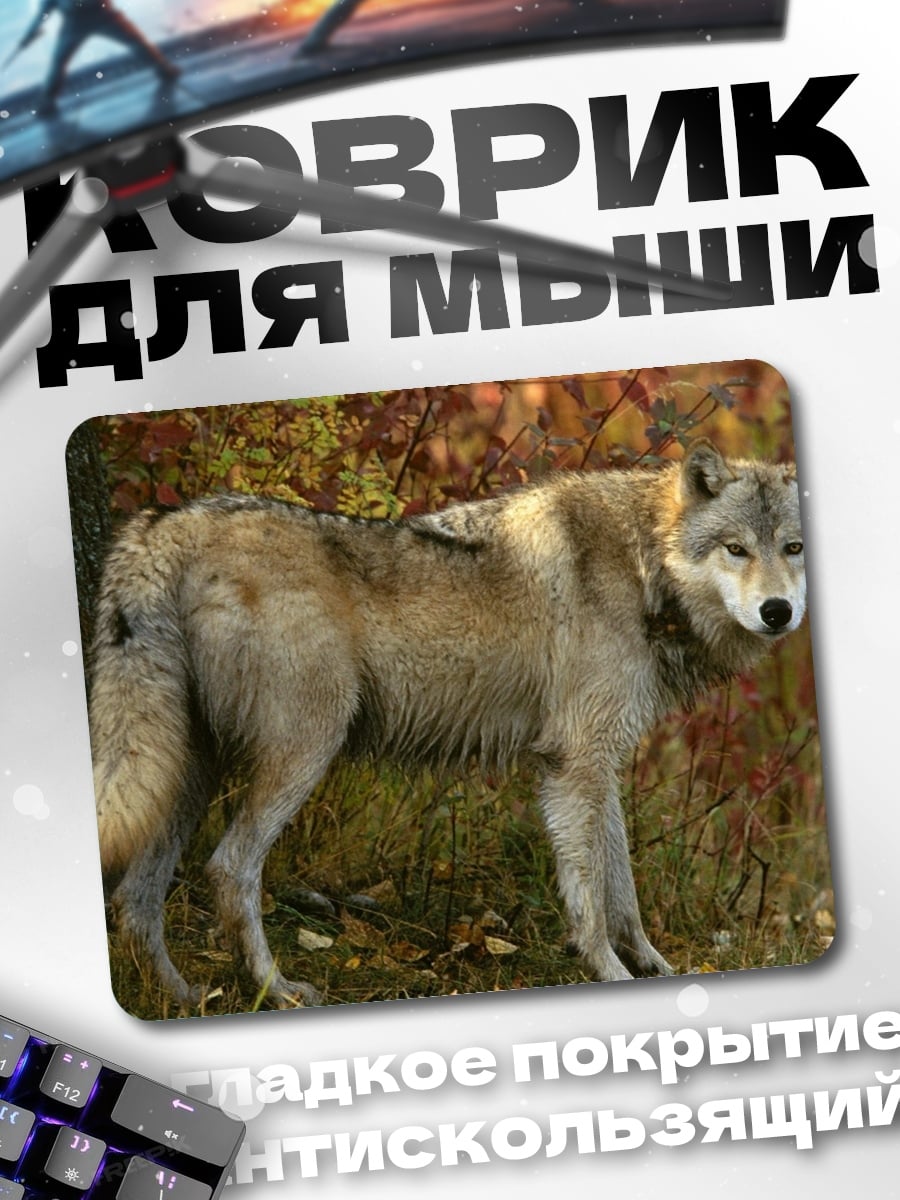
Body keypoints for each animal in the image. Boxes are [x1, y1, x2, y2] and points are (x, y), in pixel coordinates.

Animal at [88, 439, 806, 1007]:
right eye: (736, 549)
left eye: (793, 548)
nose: (778, 612)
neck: (643, 565)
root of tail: (168, 522)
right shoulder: (576, 763)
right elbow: (592, 899)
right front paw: (610, 974)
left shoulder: (596, 763)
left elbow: (622, 891)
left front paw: (656, 968)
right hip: (302, 752)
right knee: (229, 868)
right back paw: (276, 990)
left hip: (188, 770)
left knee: (136, 897)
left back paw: (179, 997)